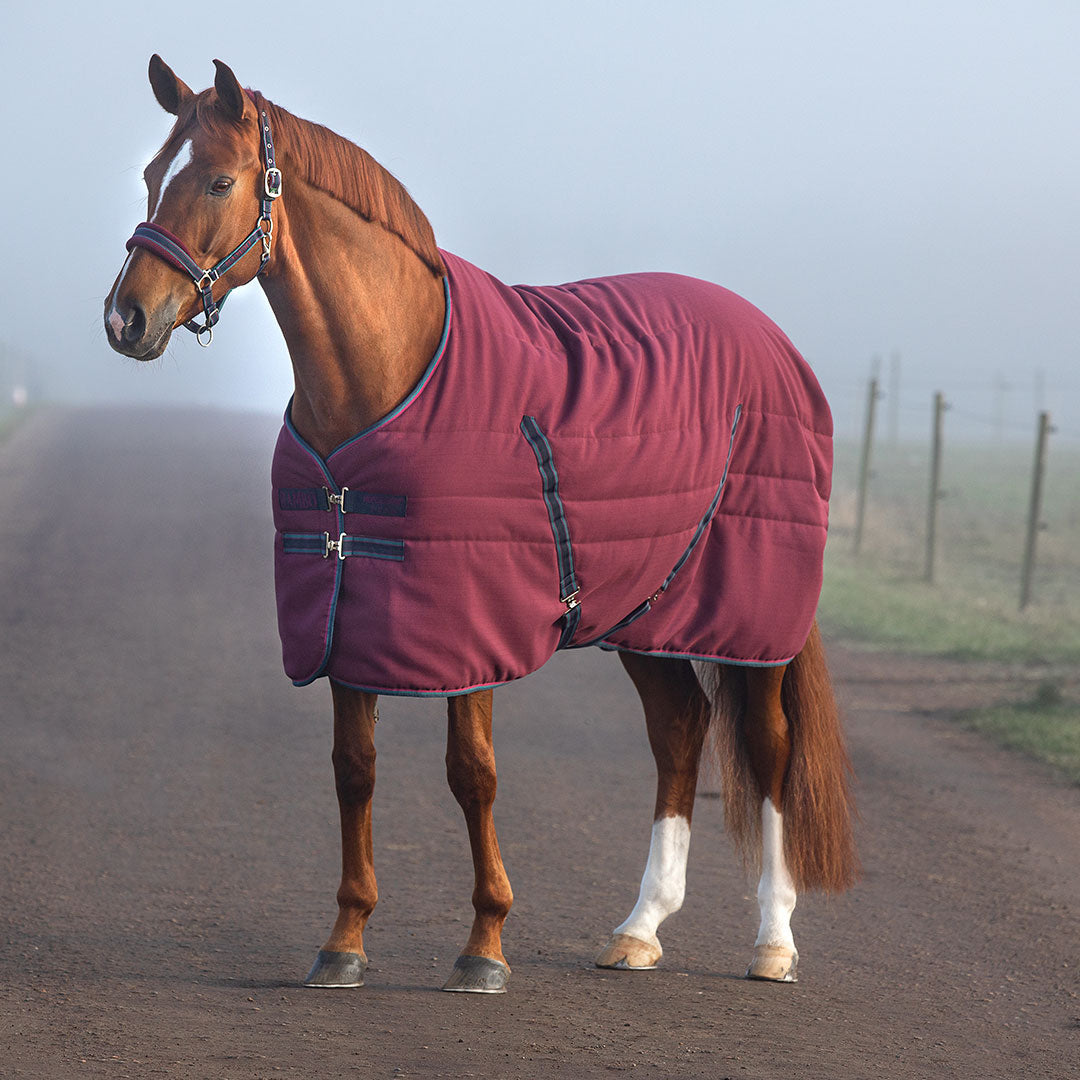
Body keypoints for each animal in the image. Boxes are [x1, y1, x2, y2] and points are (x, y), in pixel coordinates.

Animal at [105, 54, 855, 989]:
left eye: (216, 180)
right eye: (148, 175)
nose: (125, 318)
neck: (389, 374)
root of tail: (774, 341)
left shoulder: (469, 626)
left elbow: (472, 775)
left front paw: (485, 946)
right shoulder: (347, 614)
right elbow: (354, 772)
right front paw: (344, 941)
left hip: (751, 618)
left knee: (769, 745)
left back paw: (773, 942)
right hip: (646, 611)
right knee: (679, 730)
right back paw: (640, 929)